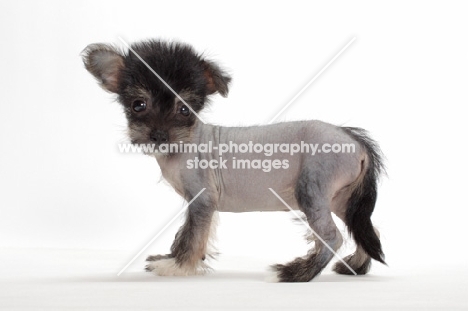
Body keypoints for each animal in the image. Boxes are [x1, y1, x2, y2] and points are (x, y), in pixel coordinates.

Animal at [82, 40, 386, 284]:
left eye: (184, 109)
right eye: (138, 105)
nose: (158, 135)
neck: (188, 140)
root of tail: (354, 140)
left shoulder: (202, 200)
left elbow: (192, 236)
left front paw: (178, 267)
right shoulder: (199, 204)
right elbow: (187, 233)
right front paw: (176, 259)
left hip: (313, 191)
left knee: (333, 237)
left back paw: (294, 274)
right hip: (342, 199)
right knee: (364, 228)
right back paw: (356, 267)